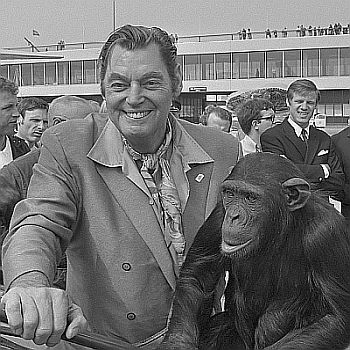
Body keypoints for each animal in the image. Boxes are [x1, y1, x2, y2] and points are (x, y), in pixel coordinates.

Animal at [160, 153, 350, 350]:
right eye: (230, 194)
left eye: (250, 198)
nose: (233, 216)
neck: (279, 227)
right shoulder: (219, 215)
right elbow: (198, 276)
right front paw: (177, 343)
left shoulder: (327, 234)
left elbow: (337, 316)